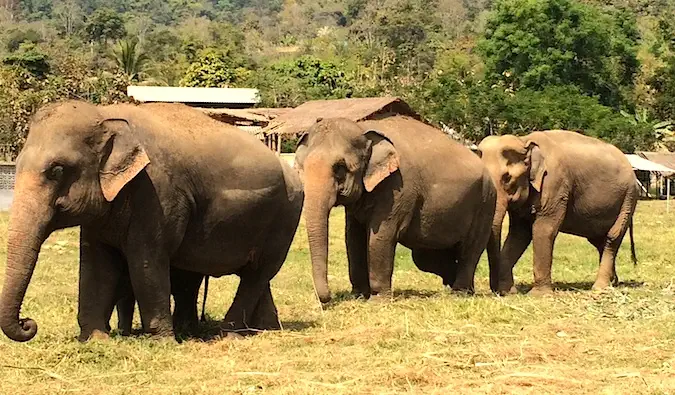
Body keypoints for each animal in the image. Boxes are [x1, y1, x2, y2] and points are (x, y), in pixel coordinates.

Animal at [0, 101, 302, 344]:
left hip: (285, 219)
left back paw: (229, 334)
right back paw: (262, 328)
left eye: (57, 170)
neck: (105, 114)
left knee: (257, 273)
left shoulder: (156, 193)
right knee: (253, 276)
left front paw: (162, 342)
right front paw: (96, 340)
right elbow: (96, 264)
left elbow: (146, 262)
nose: (28, 323)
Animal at [294, 115, 500, 304]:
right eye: (302, 168)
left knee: (470, 250)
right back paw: (461, 288)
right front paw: (358, 296)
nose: (328, 299)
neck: (364, 128)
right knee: (424, 256)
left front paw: (377, 300)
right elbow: (353, 237)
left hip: (485, 203)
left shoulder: (398, 189)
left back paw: (459, 293)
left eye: (340, 168)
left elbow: (380, 236)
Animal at [476, 130, 640, 294]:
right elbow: (519, 235)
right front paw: (509, 292)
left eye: (507, 178)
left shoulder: (555, 184)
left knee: (612, 238)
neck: (524, 140)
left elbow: (543, 230)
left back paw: (600, 287)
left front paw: (539, 295)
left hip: (628, 199)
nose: (496, 291)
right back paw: (613, 283)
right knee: (600, 241)